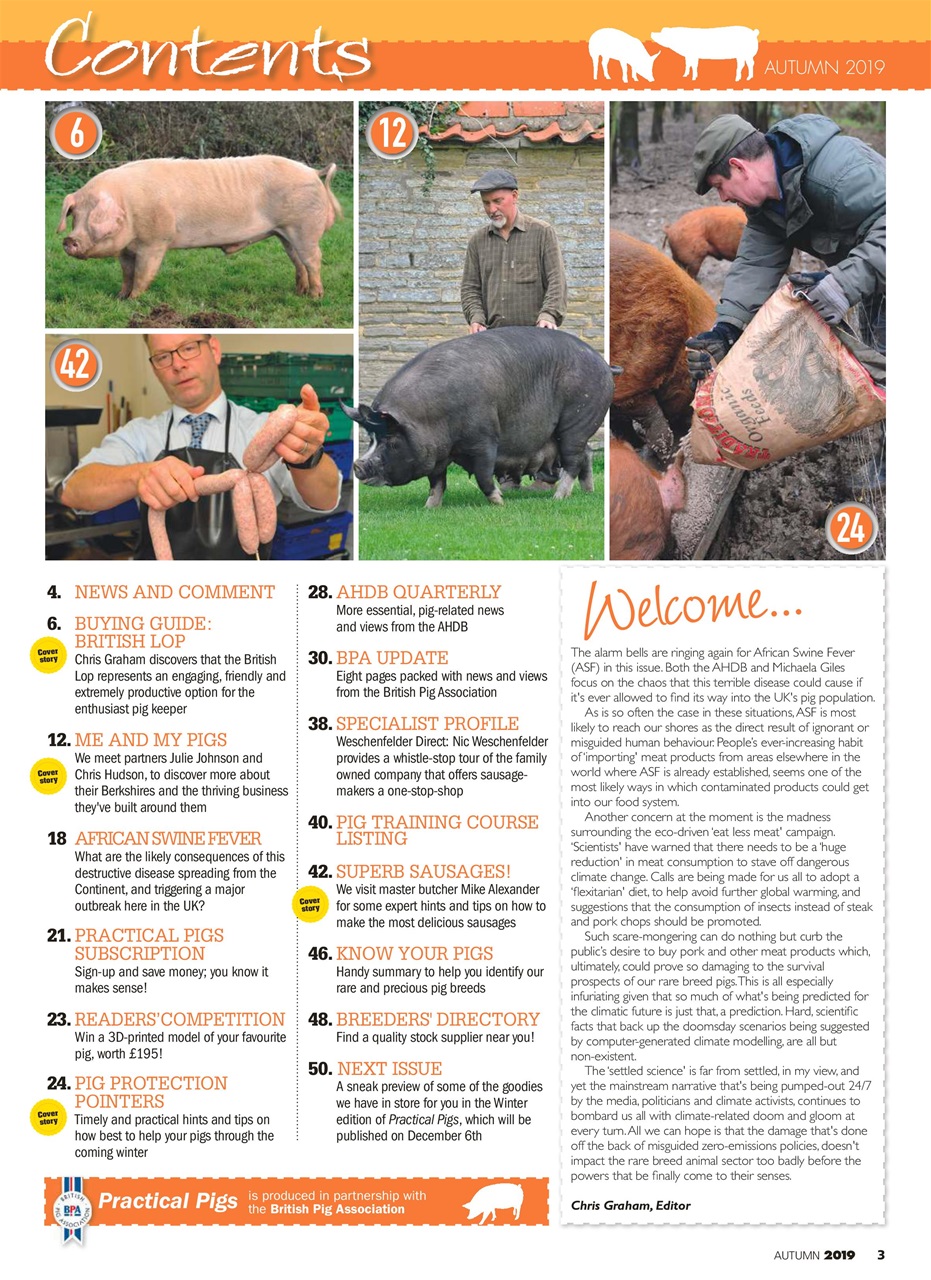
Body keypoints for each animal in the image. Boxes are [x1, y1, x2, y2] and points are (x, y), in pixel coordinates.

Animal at [56, 155, 342, 299]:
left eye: (94, 216)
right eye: (75, 215)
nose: (69, 240)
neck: (128, 206)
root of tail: (313, 172)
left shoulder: (156, 241)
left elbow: (143, 274)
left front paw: (134, 300)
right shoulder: (127, 249)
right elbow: (127, 273)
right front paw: (119, 297)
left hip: (304, 227)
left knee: (313, 259)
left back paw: (315, 297)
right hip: (285, 233)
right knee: (298, 262)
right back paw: (299, 292)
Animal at [350, 328, 612, 507]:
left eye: (391, 441)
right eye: (371, 438)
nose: (357, 465)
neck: (432, 417)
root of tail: (604, 363)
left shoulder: (485, 439)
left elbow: (483, 475)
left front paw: (500, 502)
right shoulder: (438, 453)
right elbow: (436, 482)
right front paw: (429, 508)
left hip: (578, 421)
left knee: (573, 460)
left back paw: (558, 498)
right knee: (587, 454)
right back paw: (587, 492)